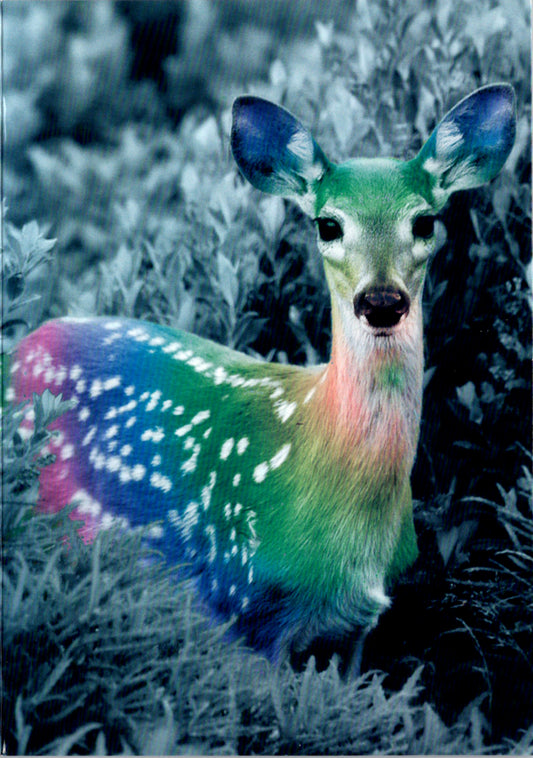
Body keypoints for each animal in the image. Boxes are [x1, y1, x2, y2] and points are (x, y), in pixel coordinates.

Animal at [10, 84, 516, 672]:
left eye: (425, 221)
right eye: (328, 224)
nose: (381, 301)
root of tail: (20, 347)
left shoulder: (359, 628)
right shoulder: (244, 599)